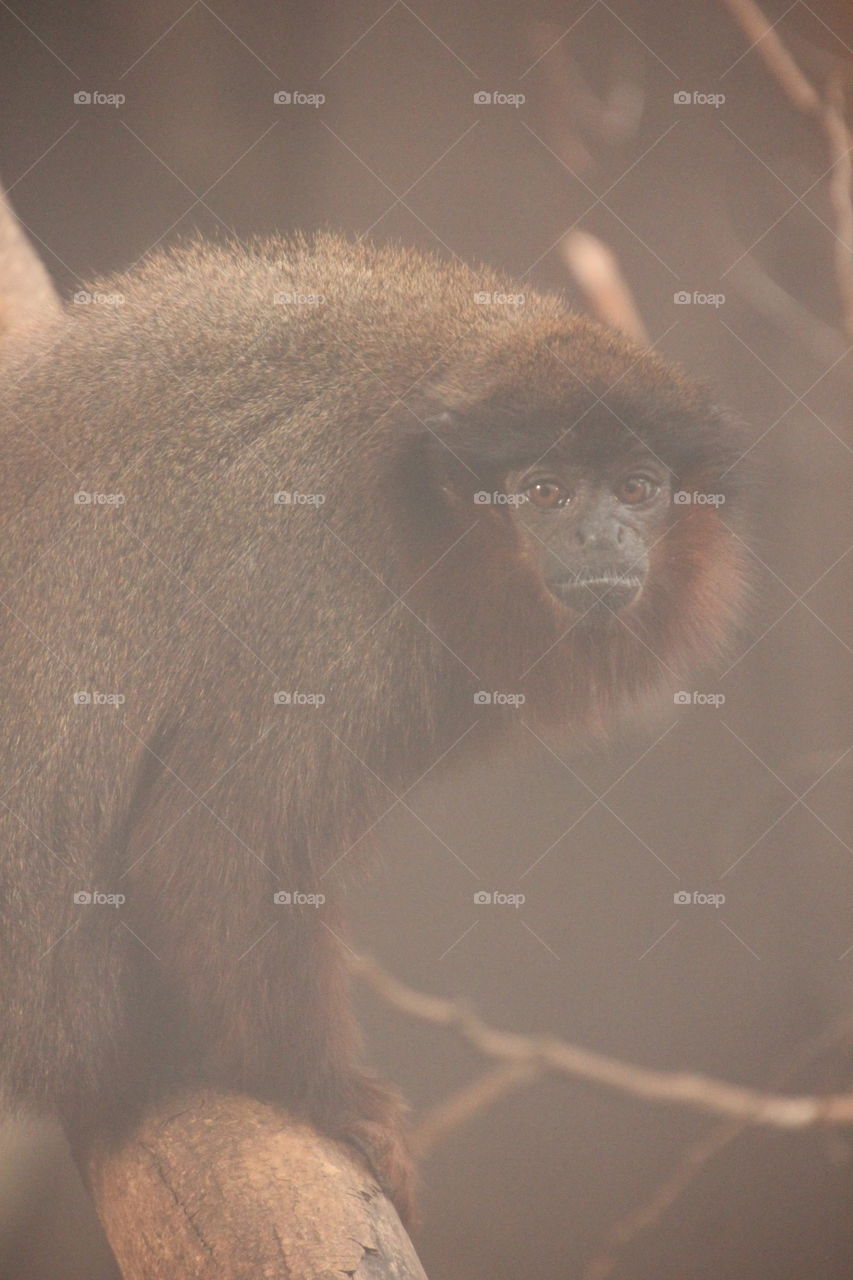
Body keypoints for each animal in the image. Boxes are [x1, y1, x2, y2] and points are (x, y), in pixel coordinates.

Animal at [0, 230, 748, 1225]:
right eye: (544, 492)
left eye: (635, 488)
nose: (600, 538)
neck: (411, 498)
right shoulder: (323, 598)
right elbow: (210, 849)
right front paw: (327, 1098)